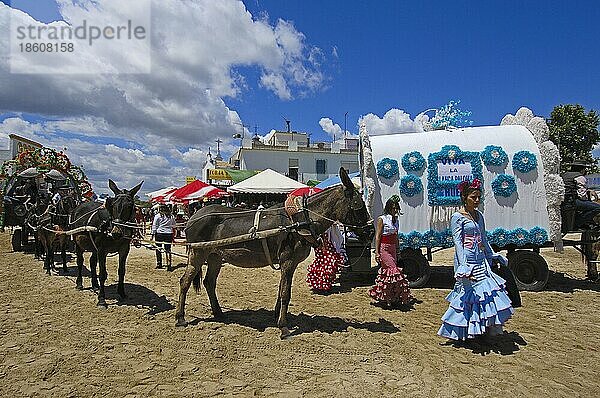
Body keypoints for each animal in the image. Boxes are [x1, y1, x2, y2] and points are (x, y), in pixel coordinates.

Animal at [69, 180, 142, 308]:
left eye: (130, 207)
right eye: (112, 205)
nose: (117, 232)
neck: (109, 225)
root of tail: (78, 207)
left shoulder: (124, 249)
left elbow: (121, 271)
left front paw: (122, 293)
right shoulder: (102, 250)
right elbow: (102, 273)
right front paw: (101, 299)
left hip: (94, 247)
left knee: (92, 262)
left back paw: (95, 285)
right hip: (78, 243)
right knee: (80, 261)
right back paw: (79, 283)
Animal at [175, 166, 370, 338]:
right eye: (359, 205)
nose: (370, 232)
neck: (300, 220)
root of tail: (193, 217)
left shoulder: (288, 264)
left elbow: (281, 289)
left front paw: (277, 316)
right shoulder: (288, 261)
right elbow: (285, 293)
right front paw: (283, 327)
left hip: (215, 256)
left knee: (209, 282)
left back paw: (218, 312)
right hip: (198, 253)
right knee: (185, 281)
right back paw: (180, 317)